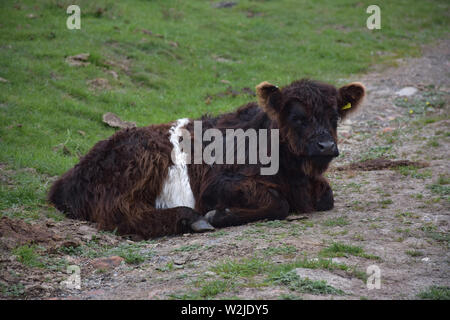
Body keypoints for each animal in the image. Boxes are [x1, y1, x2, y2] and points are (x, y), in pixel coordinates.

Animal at [48, 79, 366, 239]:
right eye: (298, 117)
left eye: (335, 116)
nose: (326, 146)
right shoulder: (217, 185)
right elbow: (278, 203)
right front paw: (220, 215)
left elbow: (326, 197)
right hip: (142, 161)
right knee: (120, 214)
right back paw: (191, 218)